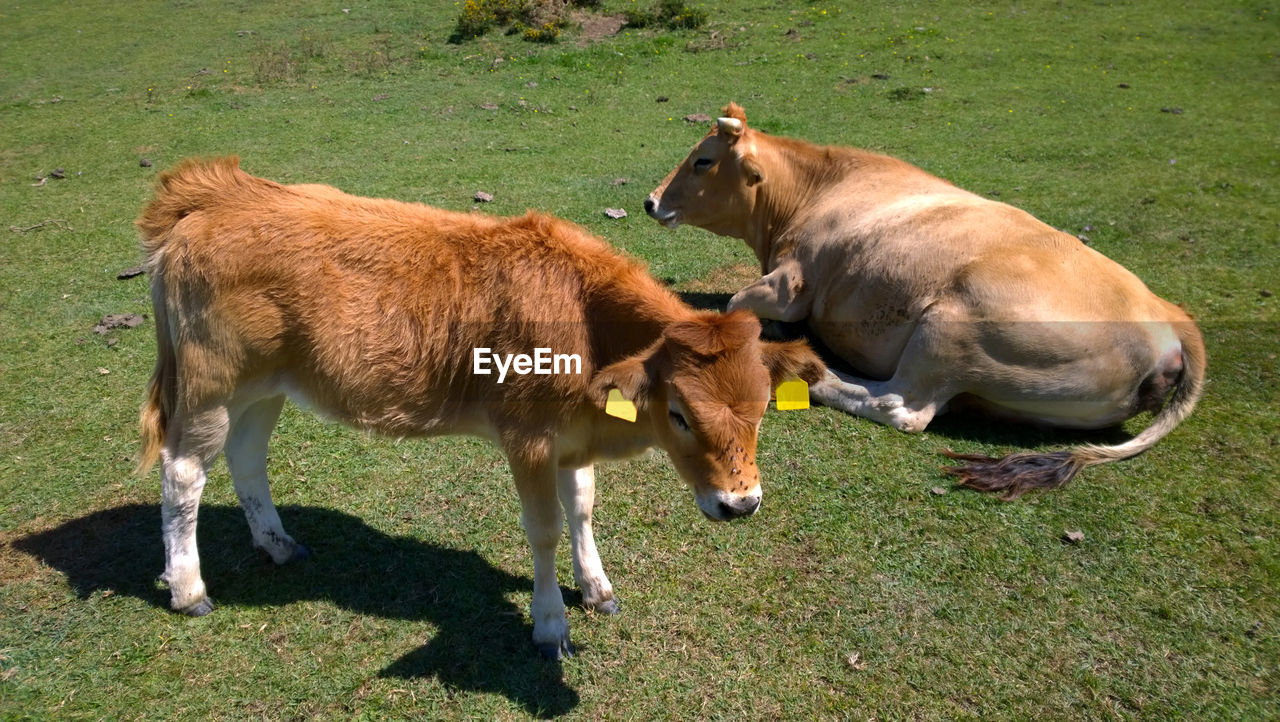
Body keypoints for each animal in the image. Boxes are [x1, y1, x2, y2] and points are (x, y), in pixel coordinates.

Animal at [137, 158, 819, 660]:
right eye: (679, 412)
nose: (741, 503)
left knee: (247, 458)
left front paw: (595, 585)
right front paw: (550, 624)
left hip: (265, 386)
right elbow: (544, 528)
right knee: (183, 474)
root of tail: (213, 195)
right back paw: (189, 587)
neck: (585, 319)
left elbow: (582, 507)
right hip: (210, 384)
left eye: (762, 410)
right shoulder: (528, 437)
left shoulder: (573, 439)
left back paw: (277, 543)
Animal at [645, 104, 1203, 499]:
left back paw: (814, 374)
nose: (650, 201)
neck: (813, 191)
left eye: (702, 160)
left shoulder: (789, 285)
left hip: (948, 328)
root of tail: (1171, 317)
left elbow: (737, 302)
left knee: (900, 406)